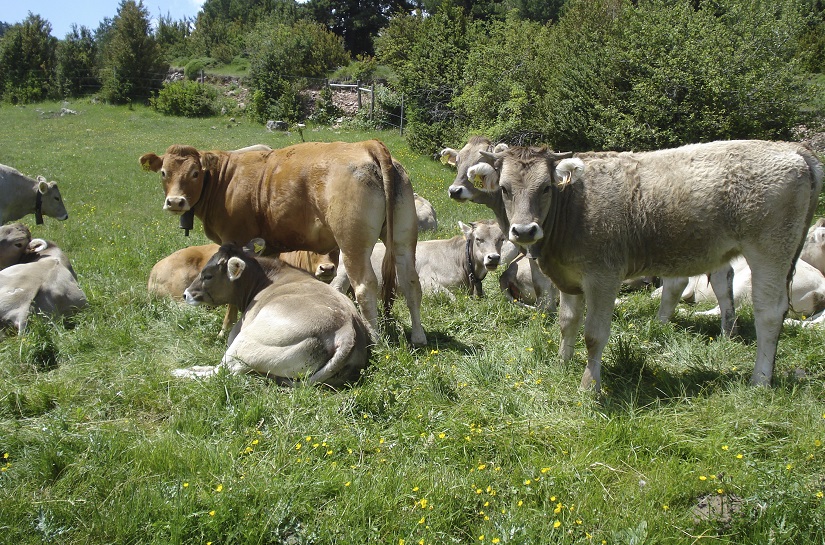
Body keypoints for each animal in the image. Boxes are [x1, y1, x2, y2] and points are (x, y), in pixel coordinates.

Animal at [138, 140, 424, 344]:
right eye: (164, 172)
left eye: (196, 173)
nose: (175, 202)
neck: (225, 181)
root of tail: (366, 145)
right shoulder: (269, 246)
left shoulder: (234, 239)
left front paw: (224, 331)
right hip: (402, 237)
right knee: (410, 282)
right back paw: (418, 336)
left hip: (353, 242)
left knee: (365, 287)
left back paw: (375, 338)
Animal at [172, 242, 368, 386]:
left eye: (208, 275)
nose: (186, 294)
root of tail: (346, 329)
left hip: (244, 343)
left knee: (222, 372)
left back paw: (181, 372)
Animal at [466, 140, 820, 392]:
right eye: (504, 189)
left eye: (546, 187)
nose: (525, 230)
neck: (573, 206)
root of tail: (790, 148)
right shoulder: (569, 277)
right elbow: (567, 322)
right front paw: (562, 362)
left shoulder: (603, 277)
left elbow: (593, 334)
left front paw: (588, 385)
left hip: (770, 250)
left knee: (769, 311)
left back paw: (760, 379)